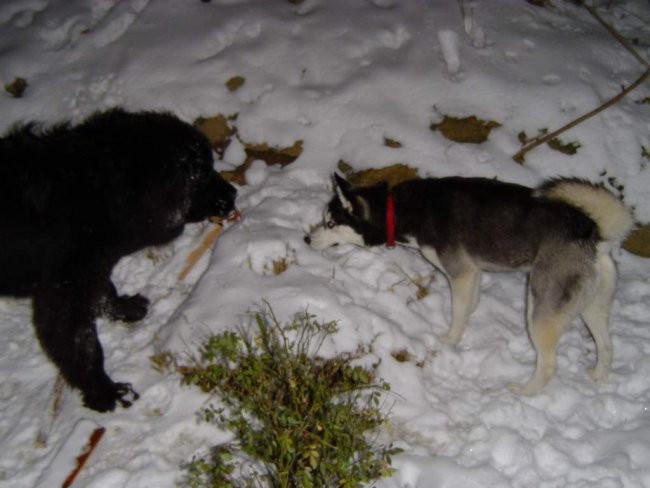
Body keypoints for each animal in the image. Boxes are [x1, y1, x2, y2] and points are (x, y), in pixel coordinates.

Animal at [0, 107, 237, 412]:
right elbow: (83, 346)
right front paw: (106, 392)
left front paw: (125, 307)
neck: (99, 193)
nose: (233, 193)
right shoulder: (64, 290)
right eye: (202, 173)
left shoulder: (92, 267)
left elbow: (104, 291)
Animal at [306, 173, 632, 394]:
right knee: (607, 346)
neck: (398, 209)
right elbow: (470, 305)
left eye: (330, 224)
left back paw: (524, 392)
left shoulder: (461, 273)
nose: (307, 238)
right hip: (592, 307)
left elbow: (459, 313)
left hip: (540, 309)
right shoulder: (473, 274)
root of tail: (590, 232)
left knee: (549, 364)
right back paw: (598, 377)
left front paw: (449, 340)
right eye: (322, 220)